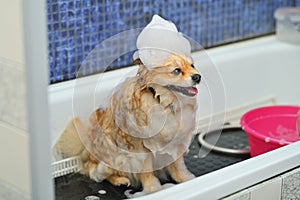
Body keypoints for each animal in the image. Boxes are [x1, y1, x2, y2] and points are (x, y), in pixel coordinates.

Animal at [54, 53, 202, 192]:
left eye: (192, 66)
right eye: (177, 71)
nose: (198, 76)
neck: (165, 103)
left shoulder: (175, 142)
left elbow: (177, 166)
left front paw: (185, 179)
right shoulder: (142, 149)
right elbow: (147, 172)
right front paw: (153, 189)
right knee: (95, 173)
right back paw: (118, 179)